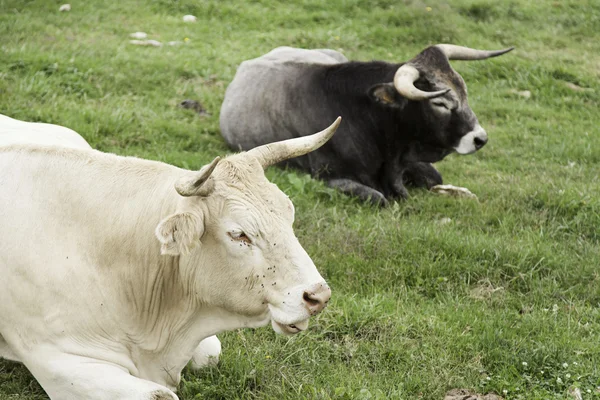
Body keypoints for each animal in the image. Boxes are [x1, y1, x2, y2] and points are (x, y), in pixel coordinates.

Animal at [0, 116, 338, 400]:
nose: (318, 296)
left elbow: (210, 354)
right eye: (239, 234)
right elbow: (159, 395)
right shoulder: (57, 361)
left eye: (289, 215)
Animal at [220, 45, 510, 205]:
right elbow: (379, 198)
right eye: (440, 103)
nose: (480, 138)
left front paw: (458, 192)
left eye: (463, 90)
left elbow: (435, 178)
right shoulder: (329, 178)